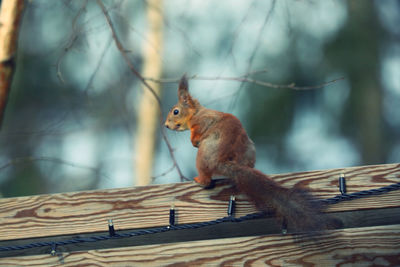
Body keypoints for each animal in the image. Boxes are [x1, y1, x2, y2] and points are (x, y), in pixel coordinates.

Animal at [164, 75, 340, 232]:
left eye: (175, 112)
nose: (165, 125)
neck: (196, 112)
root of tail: (222, 161)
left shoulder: (202, 121)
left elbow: (198, 131)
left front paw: (194, 141)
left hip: (205, 154)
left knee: (206, 178)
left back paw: (200, 179)